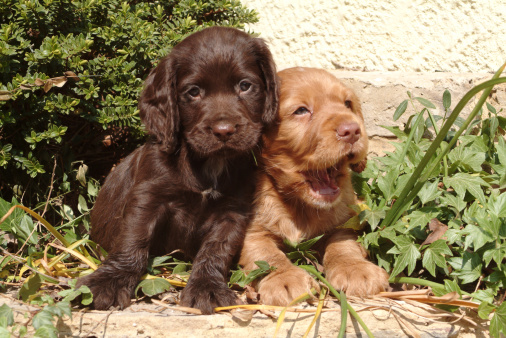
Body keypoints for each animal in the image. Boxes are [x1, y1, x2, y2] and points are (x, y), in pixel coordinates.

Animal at [239, 67, 390, 304]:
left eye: (347, 104)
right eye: (301, 110)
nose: (352, 130)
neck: (301, 205)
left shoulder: (345, 221)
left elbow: (343, 244)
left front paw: (354, 269)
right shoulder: (251, 232)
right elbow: (265, 255)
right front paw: (285, 278)